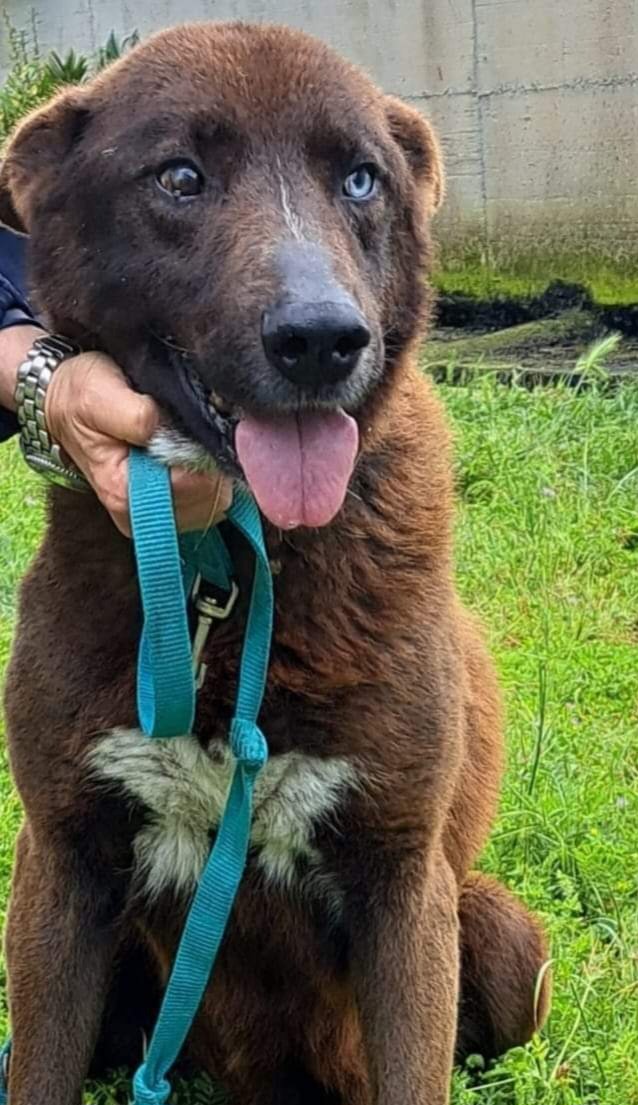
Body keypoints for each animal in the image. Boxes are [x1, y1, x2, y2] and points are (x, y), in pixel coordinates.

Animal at [0, 19, 548, 1105]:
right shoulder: (62, 866)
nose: (322, 339)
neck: (236, 559)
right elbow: (35, 1069)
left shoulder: (402, 885)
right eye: (180, 177)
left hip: (505, 940)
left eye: (360, 180)